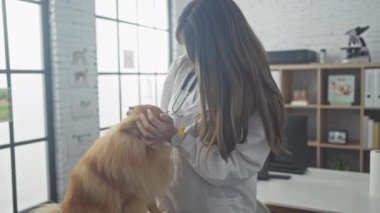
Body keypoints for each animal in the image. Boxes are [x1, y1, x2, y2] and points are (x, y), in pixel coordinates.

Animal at [33, 105, 173, 213]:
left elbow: (153, 205)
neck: (145, 152)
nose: (171, 119)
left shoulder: (146, 189)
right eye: (161, 117)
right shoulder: (133, 198)